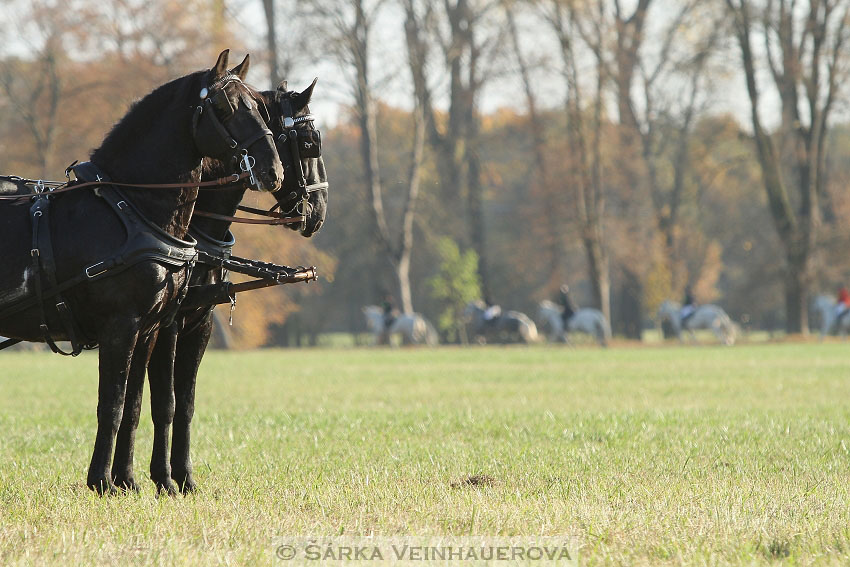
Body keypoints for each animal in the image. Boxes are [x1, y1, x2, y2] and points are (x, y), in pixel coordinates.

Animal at [0, 51, 284, 494]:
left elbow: (137, 404)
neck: (132, 209)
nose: (273, 171)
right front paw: (102, 481)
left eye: (258, 106)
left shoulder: (150, 327)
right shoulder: (122, 325)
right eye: (224, 107)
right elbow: (113, 405)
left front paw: (130, 480)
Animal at [111, 80, 326, 496]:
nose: (319, 213)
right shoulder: (167, 326)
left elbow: (182, 402)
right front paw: (161, 477)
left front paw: (182, 476)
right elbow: (163, 401)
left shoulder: (199, 323)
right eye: (310, 143)